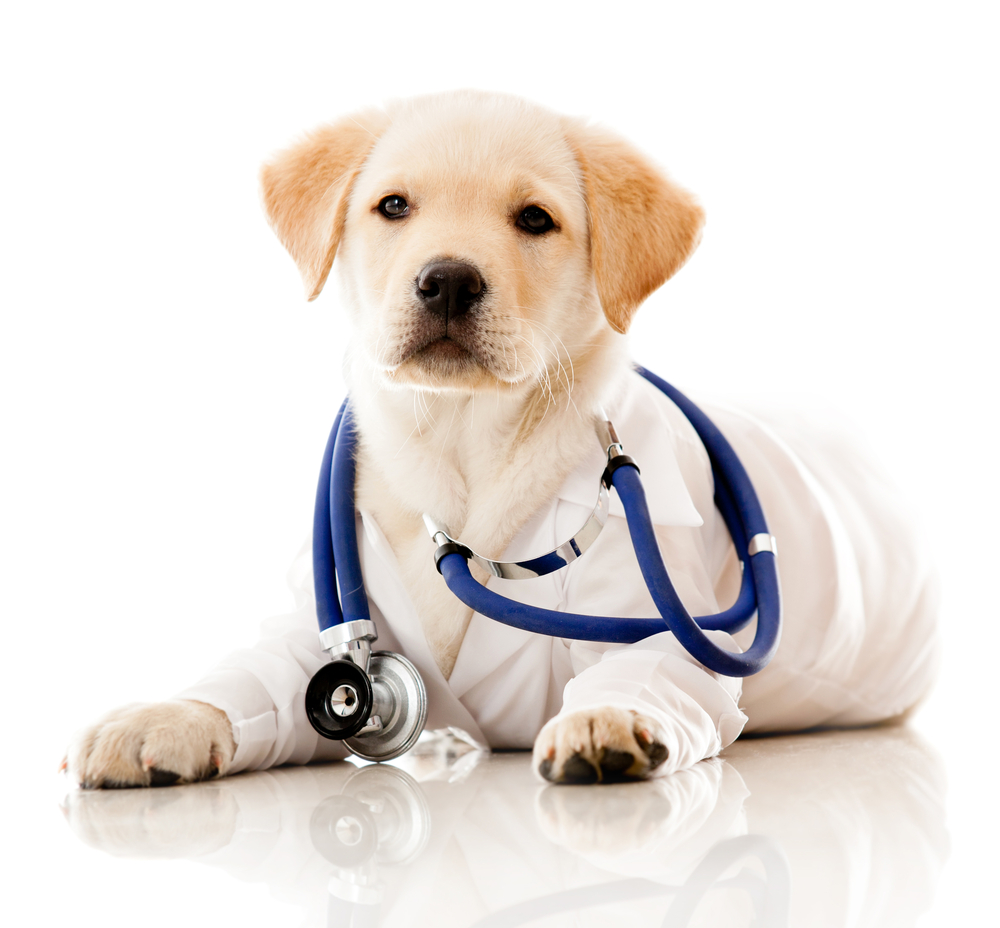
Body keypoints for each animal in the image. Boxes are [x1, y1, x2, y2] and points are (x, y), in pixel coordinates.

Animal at [64, 92, 936, 792]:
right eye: (393, 207)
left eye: (535, 220)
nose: (447, 279)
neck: (461, 443)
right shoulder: (306, 638)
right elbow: (255, 680)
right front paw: (160, 718)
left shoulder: (662, 629)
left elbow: (649, 668)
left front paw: (605, 720)